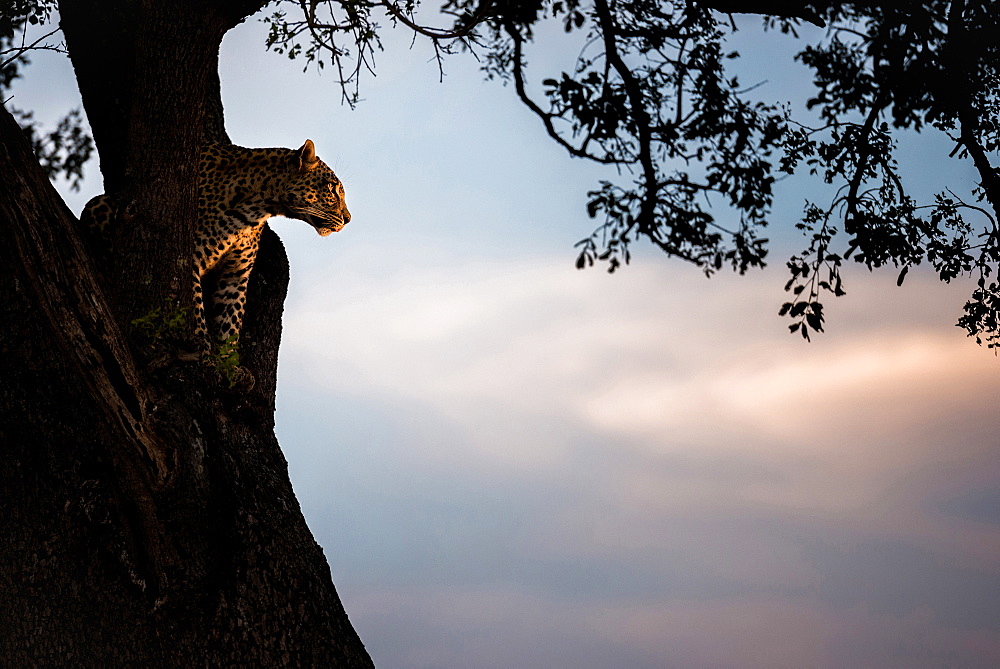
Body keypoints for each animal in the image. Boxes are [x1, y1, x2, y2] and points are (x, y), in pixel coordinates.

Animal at [82, 138, 350, 384]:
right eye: (332, 189)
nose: (348, 219)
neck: (256, 208)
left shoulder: (235, 275)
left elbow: (230, 321)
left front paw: (229, 364)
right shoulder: (192, 258)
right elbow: (196, 308)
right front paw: (204, 353)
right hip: (99, 205)